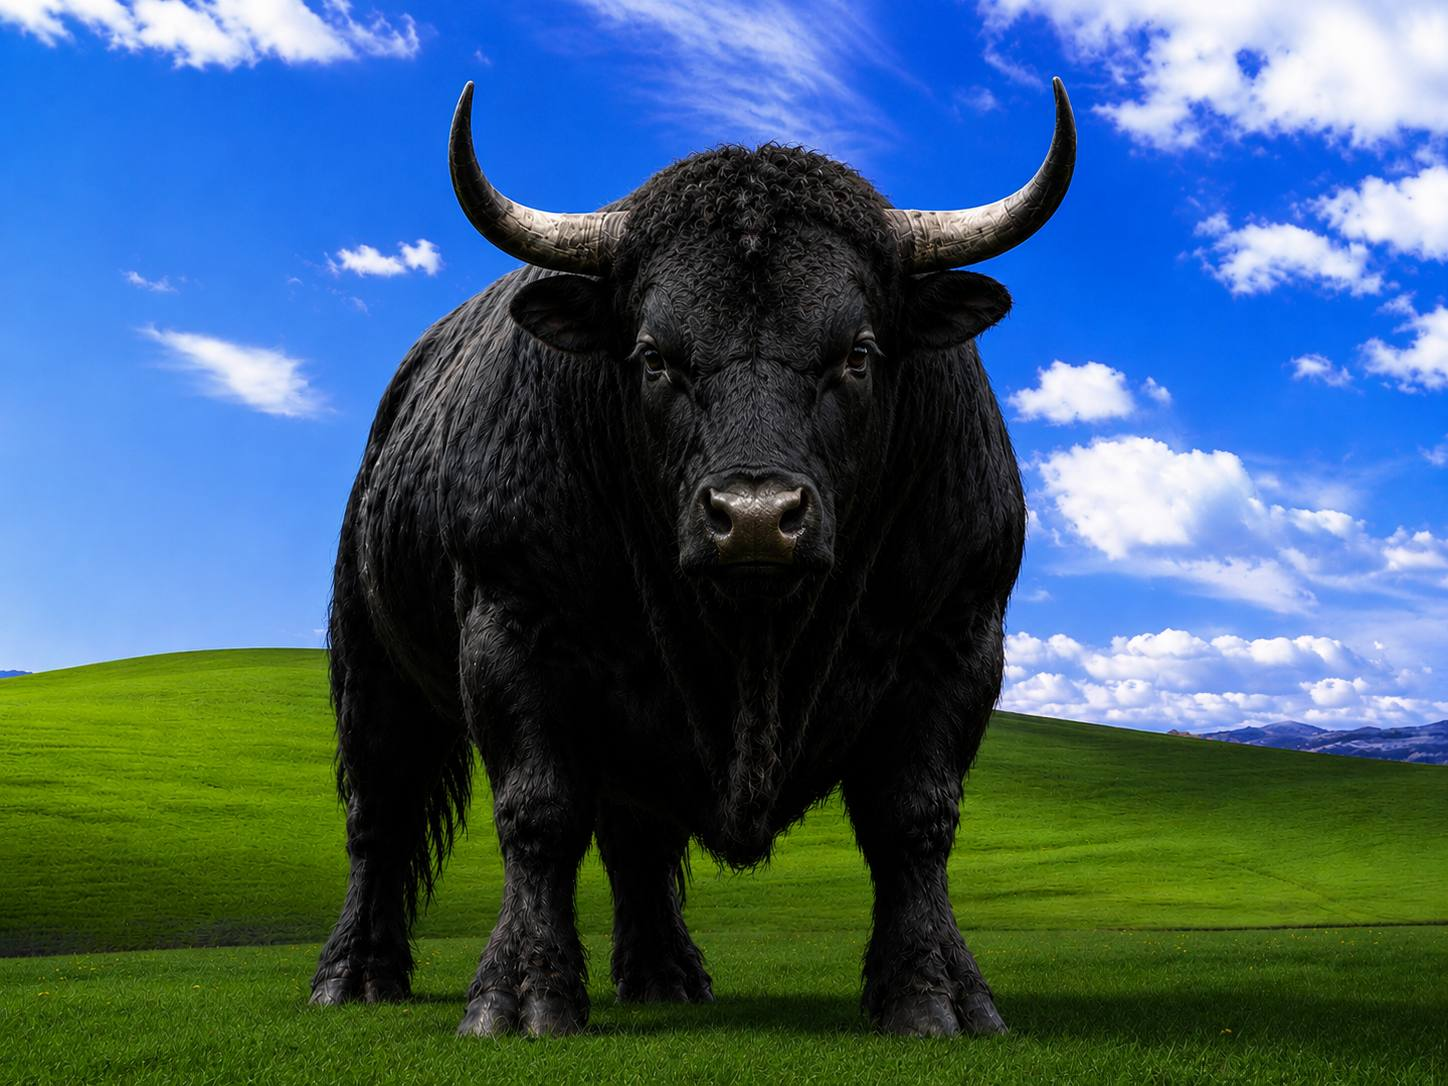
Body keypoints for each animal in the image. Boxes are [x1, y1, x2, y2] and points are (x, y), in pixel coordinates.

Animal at [310, 79, 1075, 1038]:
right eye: (652, 356)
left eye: (858, 352)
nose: (754, 519)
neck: (755, 652)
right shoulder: (513, 620)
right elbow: (537, 811)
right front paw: (521, 997)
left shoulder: (956, 633)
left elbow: (914, 821)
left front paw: (935, 994)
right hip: (372, 672)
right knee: (377, 815)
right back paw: (355, 976)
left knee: (636, 837)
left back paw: (664, 974)